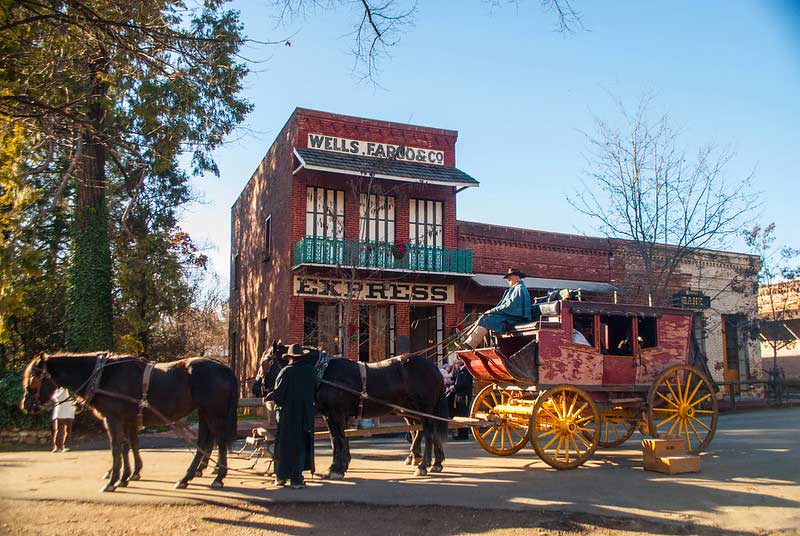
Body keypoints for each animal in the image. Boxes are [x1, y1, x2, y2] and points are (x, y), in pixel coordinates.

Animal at [20, 352, 239, 494]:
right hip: (204, 412)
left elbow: (116, 447)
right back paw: (187, 477)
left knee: (219, 441)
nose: (26, 405)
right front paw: (127, 475)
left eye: (33, 378)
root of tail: (225, 368)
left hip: (214, 412)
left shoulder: (113, 417)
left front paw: (114, 480)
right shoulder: (127, 419)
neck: (102, 376)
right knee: (204, 441)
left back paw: (218, 477)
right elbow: (128, 445)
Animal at [253, 344, 446, 478]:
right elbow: (337, 439)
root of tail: (435, 369)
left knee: (428, 432)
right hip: (412, 410)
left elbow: (338, 439)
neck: (324, 374)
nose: (255, 388)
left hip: (424, 408)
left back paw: (423, 466)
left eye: (267, 362)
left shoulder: (337, 413)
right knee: (425, 431)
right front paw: (340, 465)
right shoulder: (331, 415)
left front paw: (337, 469)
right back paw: (433, 462)